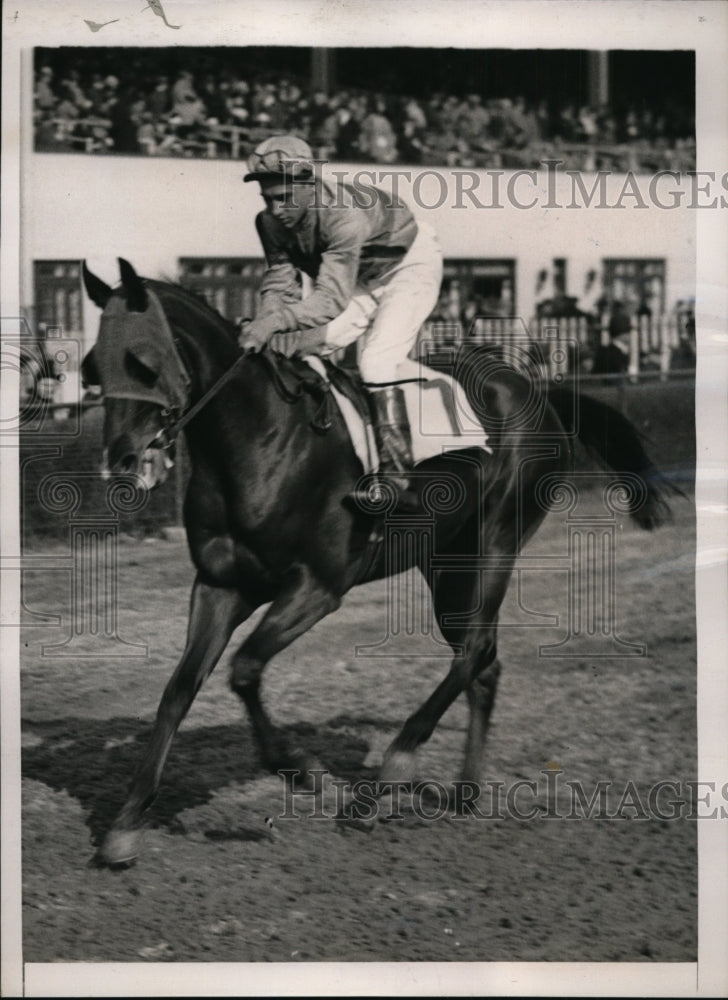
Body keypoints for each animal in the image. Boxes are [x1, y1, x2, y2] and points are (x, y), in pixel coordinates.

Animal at [79, 262, 676, 864]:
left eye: (141, 362)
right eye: (92, 368)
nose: (121, 462)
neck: (256, 442)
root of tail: (537, 388)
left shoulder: (316, 587)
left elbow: (245, 669)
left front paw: (302, 771)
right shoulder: (219, 585)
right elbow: (180, 689)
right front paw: (126, 823)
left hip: (495, 540)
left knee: (474, 650)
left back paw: (388, 777)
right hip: (445, 561)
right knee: (482, 660)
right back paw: (463, 792)